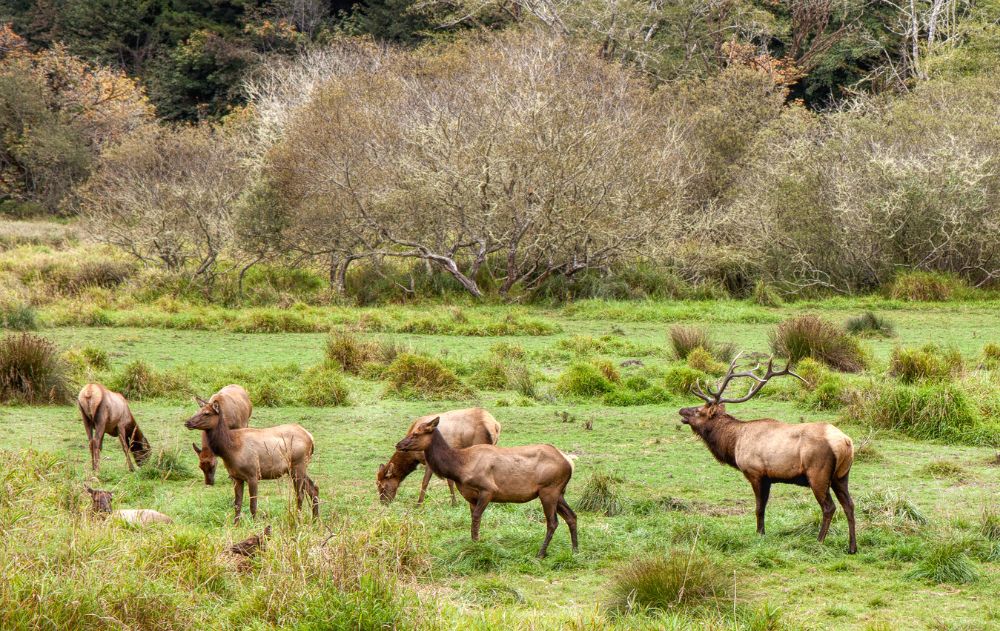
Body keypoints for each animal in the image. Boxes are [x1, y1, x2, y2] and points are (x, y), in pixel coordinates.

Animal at [183, 400, 316, 524]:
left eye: (207, 413)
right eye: (198, 410)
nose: (187, 422)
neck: (231, 449)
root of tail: (310, 437)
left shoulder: (253, 474)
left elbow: (253, 504)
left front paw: (254, 524)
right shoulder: (236, 477)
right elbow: (237, 503)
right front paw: (235, 524)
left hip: (298, 465)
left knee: (300, 494)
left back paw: (298, 520)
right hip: (295, 468)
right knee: (313, 488)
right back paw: (315, 519)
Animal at [392, 420, 576, 556]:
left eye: (416, 433)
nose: (398, 444)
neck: (459, 468)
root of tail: (569, 462)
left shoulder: (488, 490)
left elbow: (476, 518)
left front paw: (477, 544)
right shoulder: (470, 496)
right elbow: (473, 518)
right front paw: (474, 543)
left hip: (548, 490)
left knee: (553, 522)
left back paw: (541, 553)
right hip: (558, 492)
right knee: (572, 516)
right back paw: (575, 551)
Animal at [680, 354, 860, 556]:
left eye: (698, 411)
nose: (681, 410)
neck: (734, 443)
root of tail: (846, 442)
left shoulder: (755, 473)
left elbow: (759, 508)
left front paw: (759, 534)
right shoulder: (768, 478)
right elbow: (764, 507)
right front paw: (762, 532)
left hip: (818, 473)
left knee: (829, 507)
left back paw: (819, 541)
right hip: (841, 476)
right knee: (849, 505)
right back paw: (852, 547)